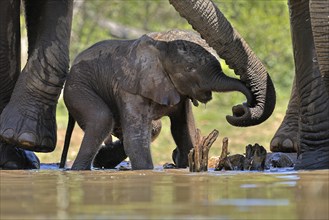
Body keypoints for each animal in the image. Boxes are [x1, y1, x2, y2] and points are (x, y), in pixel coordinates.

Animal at [59, 30, 251, 170]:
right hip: (77, 87)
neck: (161, 47)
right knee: (101, 119)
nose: (242, 106)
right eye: (189, 69)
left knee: (152, 126)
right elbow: (136, 139)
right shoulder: (130, 88)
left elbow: (182, 129)